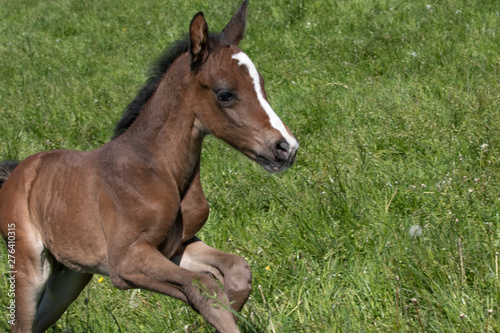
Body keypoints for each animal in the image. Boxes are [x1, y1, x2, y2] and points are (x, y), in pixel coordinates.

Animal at [0, 1, 298, 330]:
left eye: (261, 86)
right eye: (225, 94)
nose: (285, 147)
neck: (156, 168)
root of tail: (17, 172)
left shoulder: (177, 246)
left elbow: (237, 271)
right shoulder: (125, 261)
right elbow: (202, 288)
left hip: (70, 276)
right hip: (29, 264)